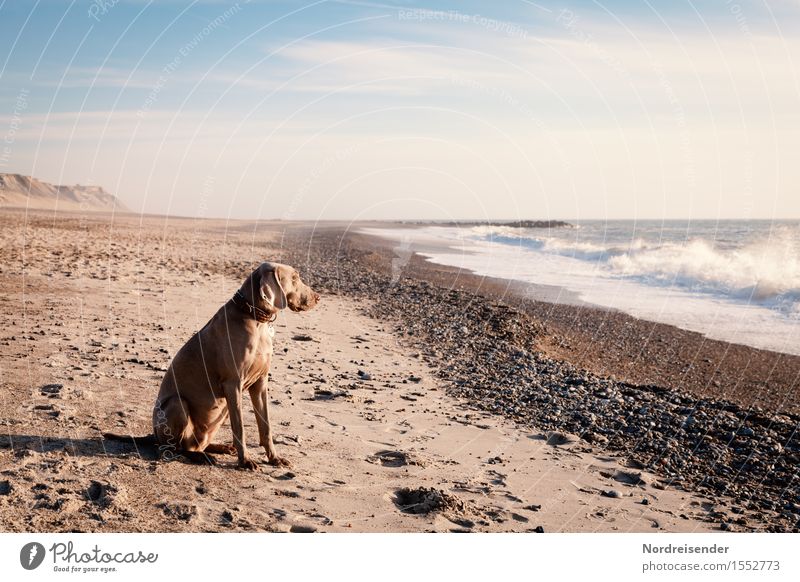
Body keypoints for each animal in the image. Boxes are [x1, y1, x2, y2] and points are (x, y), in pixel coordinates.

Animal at [104, 264, 320, 470]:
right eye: (294, 278)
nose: (317, 297)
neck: (253, 317)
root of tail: (153, 434)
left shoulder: (260, 383)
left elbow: (265, 426)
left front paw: (275, 458)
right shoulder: (233, 384)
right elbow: (239, 427)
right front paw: (245, 461)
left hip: (219, 414)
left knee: (195, 444)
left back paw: (220, 448)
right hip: (177, 404)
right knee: (173, 448)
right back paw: (203, 457)